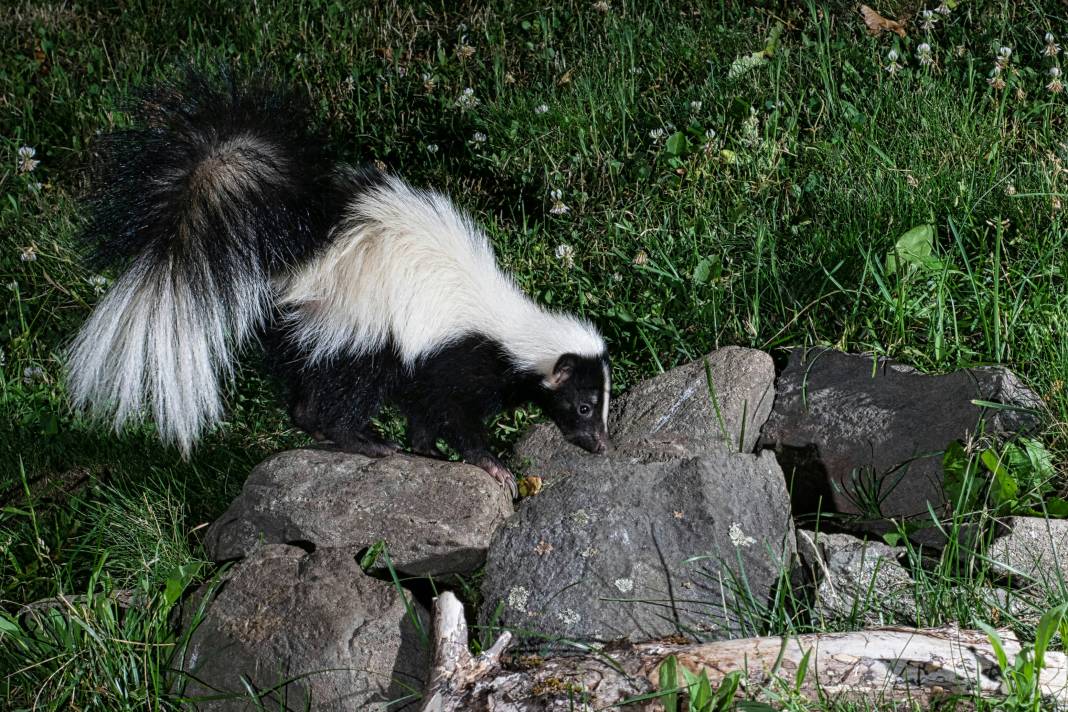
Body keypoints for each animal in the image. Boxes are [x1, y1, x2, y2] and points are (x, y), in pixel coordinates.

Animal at [68, 72, 610, 495]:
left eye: (600, 405)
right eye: (583, 406)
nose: (602, 445)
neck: (512, 332)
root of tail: (297, 253)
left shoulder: (428, 364)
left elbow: (423, 414)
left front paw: (429, 454)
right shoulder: (452, 356)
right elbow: (454, 417)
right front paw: (490, 464)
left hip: (309, 331)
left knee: (304, 395)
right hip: (357, 329)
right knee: (339, 392)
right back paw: (365, 441)